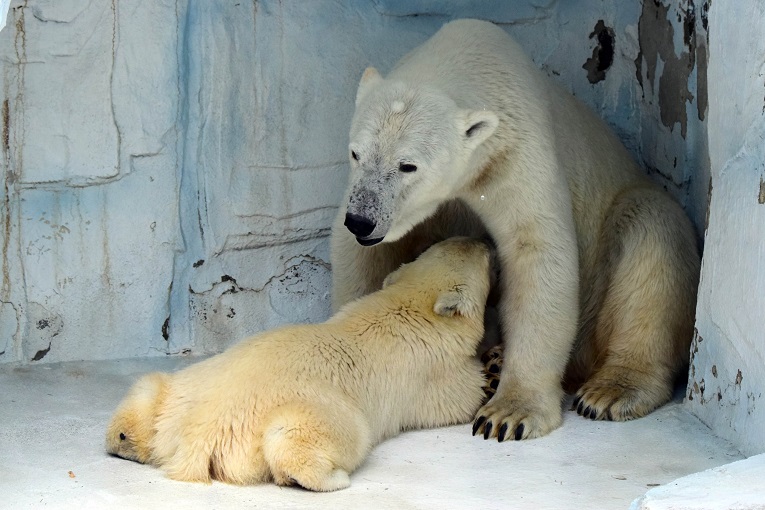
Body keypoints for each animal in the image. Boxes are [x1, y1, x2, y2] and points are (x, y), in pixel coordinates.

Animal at [106, 237, 490, 492]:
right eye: (486, 256)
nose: (482, 239)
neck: (409, 304)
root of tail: (201, 435)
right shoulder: (432, 370)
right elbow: (463, 397)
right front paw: (490, 376)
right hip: (318, 411)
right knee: (302, 437)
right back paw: (327, 477)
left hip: (187, 387)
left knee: (148, 388)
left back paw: (124, 440)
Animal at [328, 18, 700, 442]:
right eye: (355, 153)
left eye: (408, 165)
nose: (362, 220)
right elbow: (364, 254)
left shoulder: (514, 151)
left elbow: (536, 250)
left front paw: (508, 414)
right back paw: (495, 359)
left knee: (652, 234)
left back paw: (611, 390)